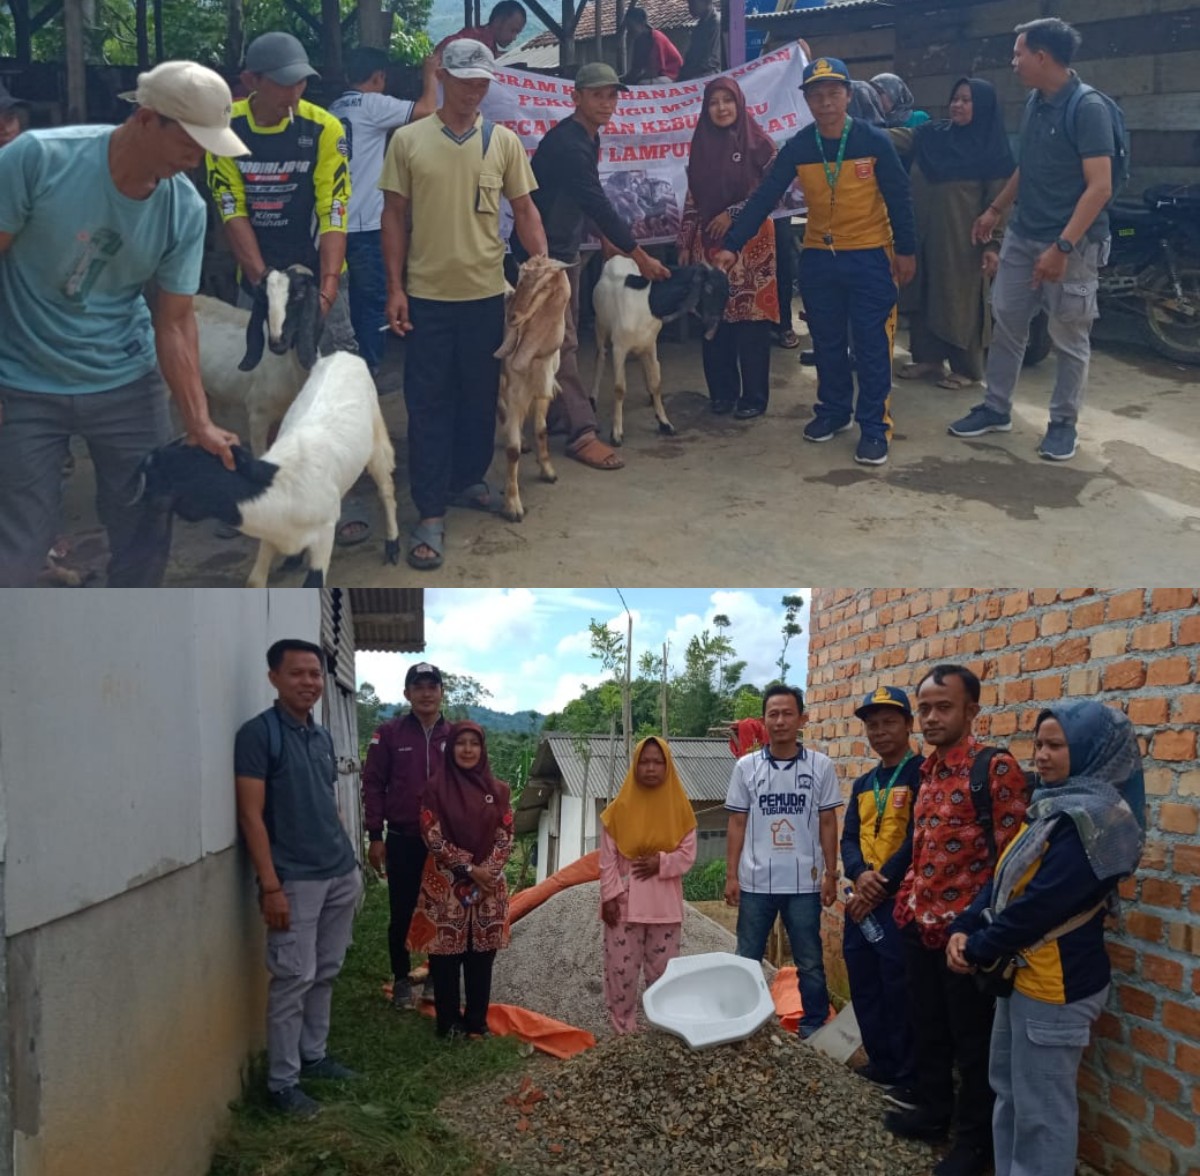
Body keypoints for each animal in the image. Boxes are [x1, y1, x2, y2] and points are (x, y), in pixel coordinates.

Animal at [494, 256, 573, 523]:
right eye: (519, 280)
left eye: (543, 286)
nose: (512, 316)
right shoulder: (515, 391)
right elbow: (512, 451)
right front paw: (513, 506)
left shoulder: (542, 389)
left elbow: (542, 429)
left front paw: (548, 470)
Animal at [585, 256, 724, 446]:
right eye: (709, 289)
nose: (713, 328)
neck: (648, 302)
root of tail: (617, 257)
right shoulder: (619, 349)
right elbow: (620, 389)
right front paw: (616, 434)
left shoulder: (651, 345)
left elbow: (656, 383)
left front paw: (665, 423)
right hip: (600, 326)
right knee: (600, 356)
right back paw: (592, 399)